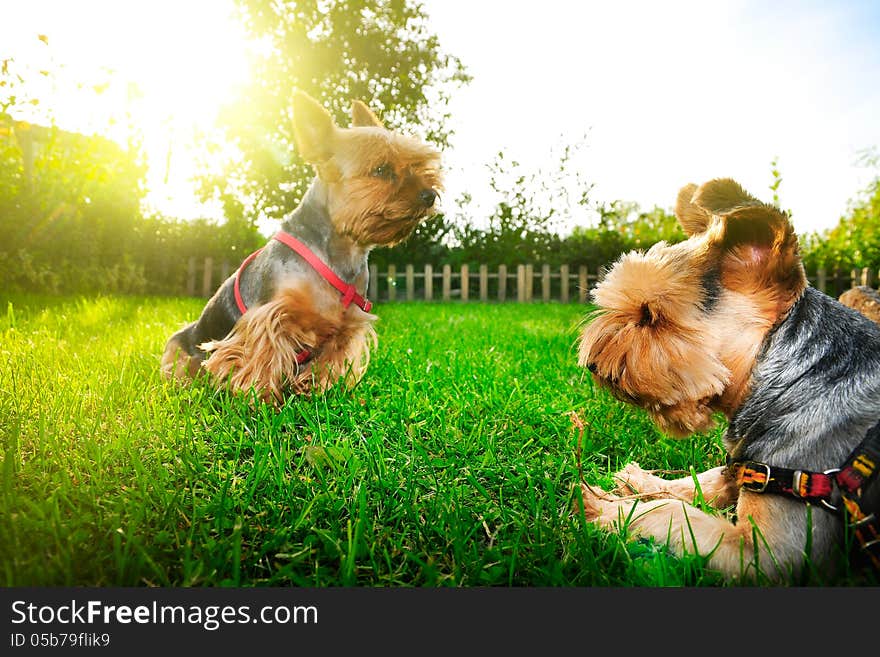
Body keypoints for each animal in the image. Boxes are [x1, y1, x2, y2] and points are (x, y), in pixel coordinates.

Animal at [160, 90, 440, 402]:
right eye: (381, 169)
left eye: (416, 165)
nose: (429, 194)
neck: (341, 252)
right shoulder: (270, 316)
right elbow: (262, 357)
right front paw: (261, 401)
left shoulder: (347, 328)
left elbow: (329, 363)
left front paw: (319, 394)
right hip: (178, 350)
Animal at [576, 178, 880, 580]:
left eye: (651, 315)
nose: (592, 365)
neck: (792, 379)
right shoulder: (751, 471)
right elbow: (700, 480)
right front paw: (640, 482)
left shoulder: (770, 552)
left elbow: (675, 512)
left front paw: (604, 506)